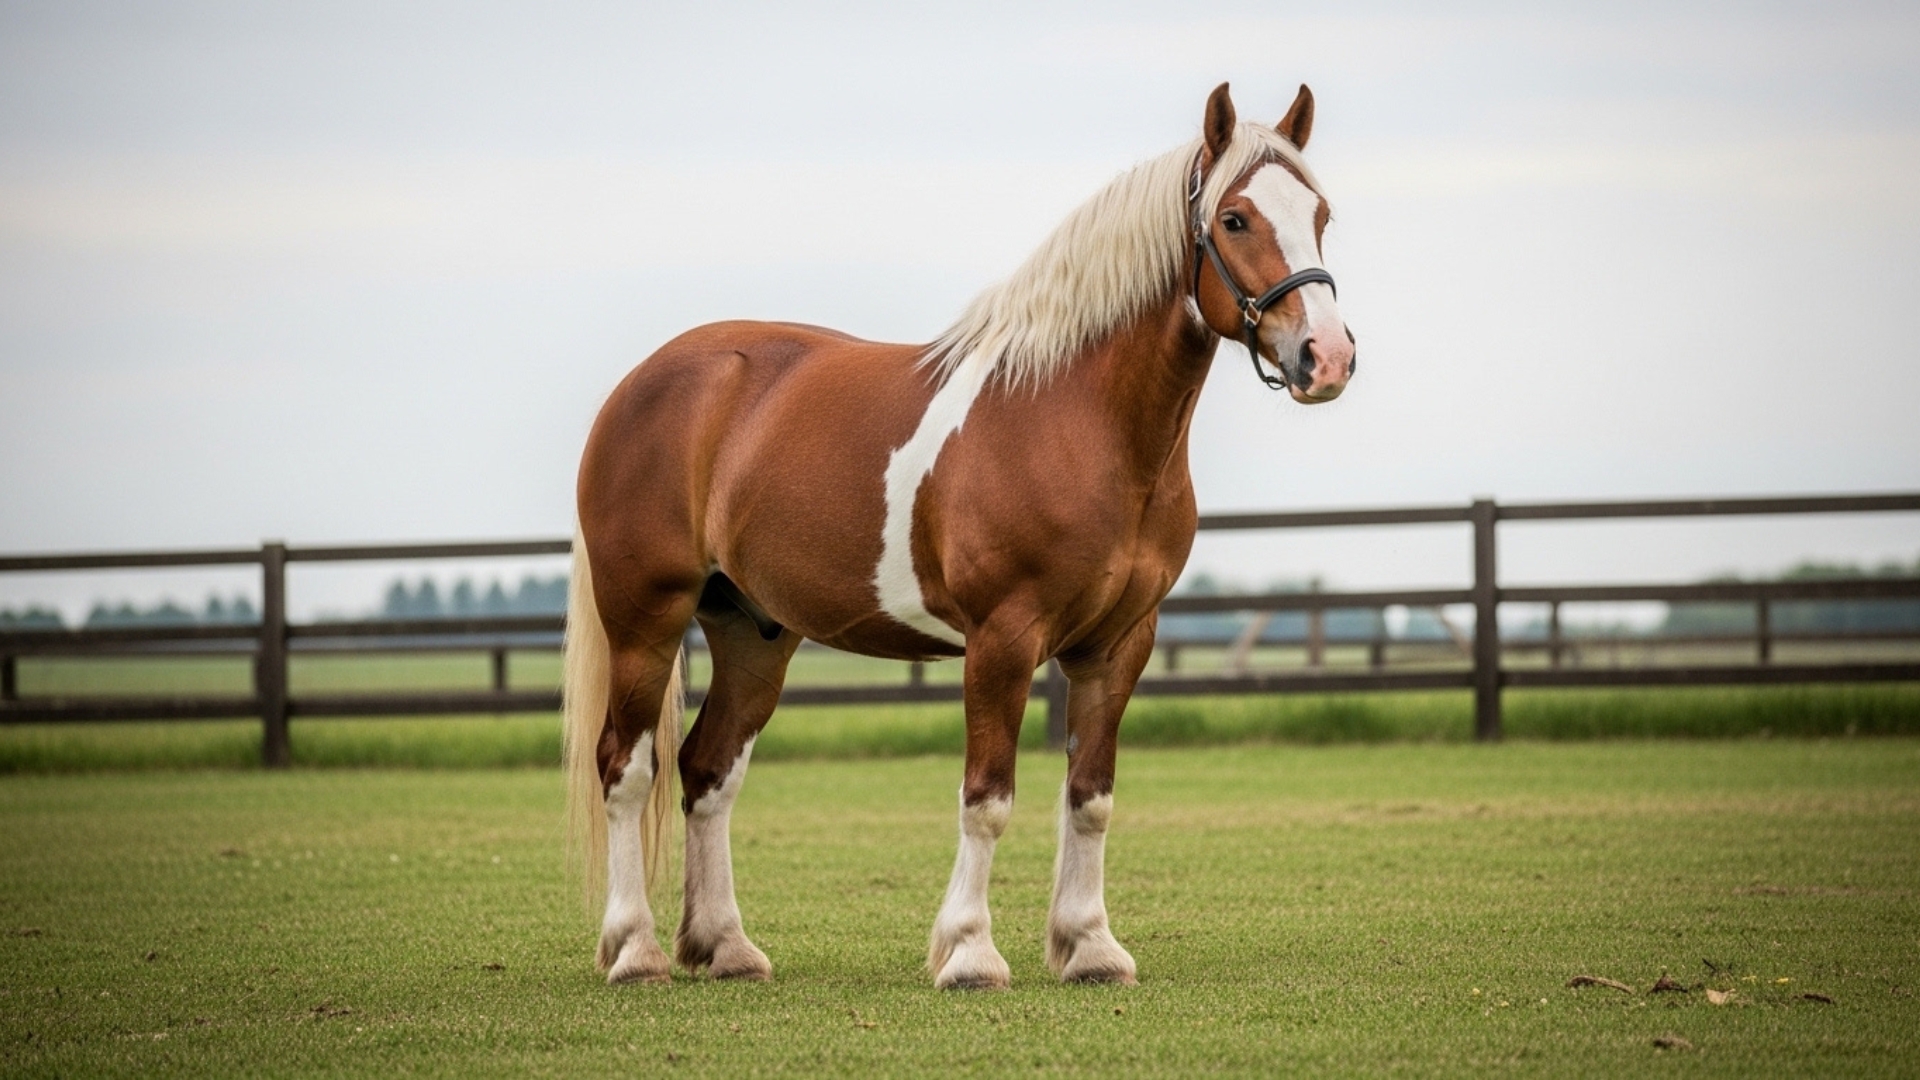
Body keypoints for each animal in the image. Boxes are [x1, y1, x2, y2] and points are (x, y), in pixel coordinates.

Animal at [562, 82, 1355, 990]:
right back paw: (635, 949)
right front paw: (970, 951)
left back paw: (724, 945)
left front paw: (1090, 946)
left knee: (707, 771)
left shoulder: (1118, 644)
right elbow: (988, 798)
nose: (1327, 357)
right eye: (1234, 218)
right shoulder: (1002, 639)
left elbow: (1091, 797)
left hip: (753, 632)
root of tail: (643, 384)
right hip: (646, 620)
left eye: (1320, 213)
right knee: (625, 768)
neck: (1073, 417)